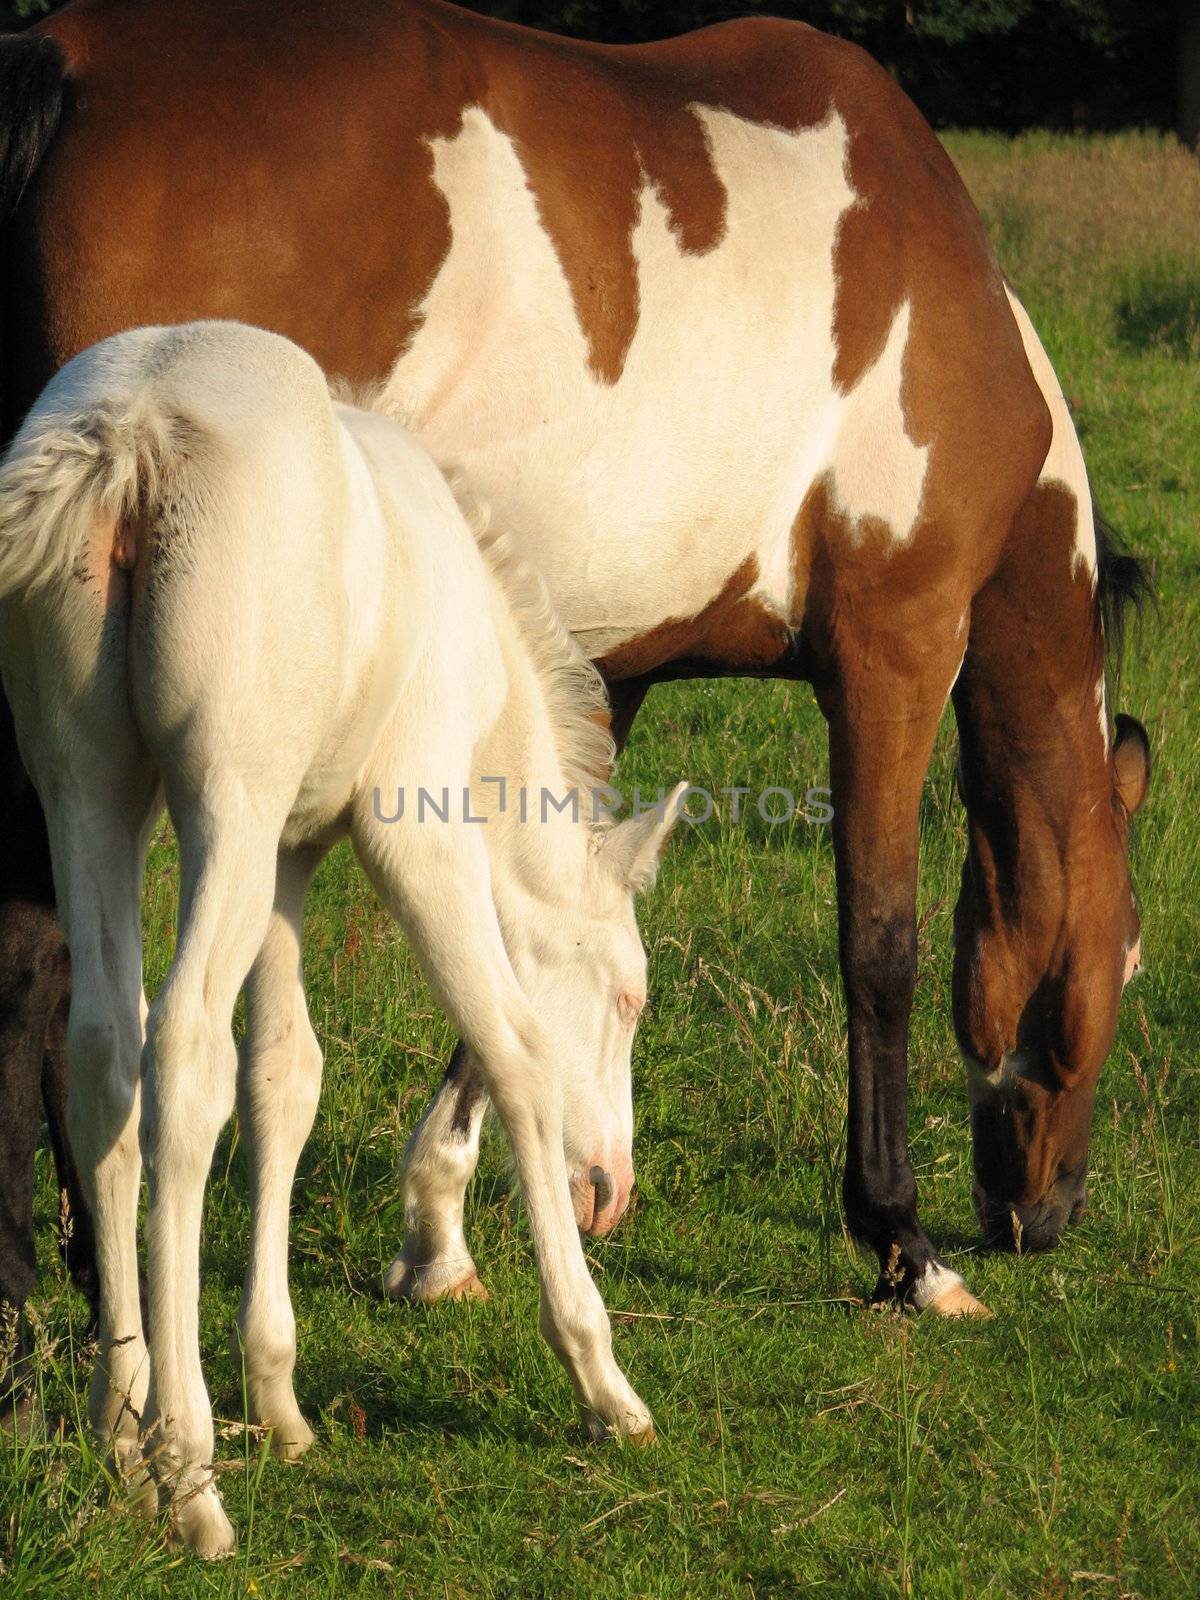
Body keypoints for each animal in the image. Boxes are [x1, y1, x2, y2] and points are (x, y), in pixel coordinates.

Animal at [0, 0, 1145, 1414]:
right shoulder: (898, 650)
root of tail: (73, 60)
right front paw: (902, 1247)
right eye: (1117, 964)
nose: (1048, 1212)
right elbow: (878, 943)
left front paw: (437, 1232)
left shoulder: (610, 666)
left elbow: (529, 954)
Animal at [0, 318, 681, 1555]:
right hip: (224, 793)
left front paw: (278, 1391)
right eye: (628, 997)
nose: (612, 1188)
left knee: (105, 1052)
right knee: (180, 1053)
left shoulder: (290, 851)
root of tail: (134, 436)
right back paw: (189, 1473)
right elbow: (513, 1046)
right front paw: (601, 1378)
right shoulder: (417, 827)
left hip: (90, 787)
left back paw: (123, 1428)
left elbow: (287, 1077)